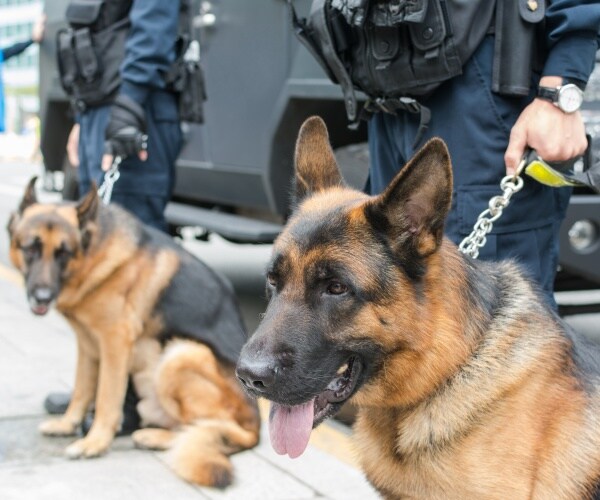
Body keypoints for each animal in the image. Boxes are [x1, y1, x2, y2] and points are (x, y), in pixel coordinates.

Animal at [7, 180, 260, 488]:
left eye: (63, 253)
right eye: (30, 248)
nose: (41, 297)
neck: (95, 253)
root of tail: (256, 428)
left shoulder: (115, 342)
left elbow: (106, 397)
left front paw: (94, 443)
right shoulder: (87, 344)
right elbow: (82, 389)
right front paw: (68, 424)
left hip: (180, 355)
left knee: (215, 429)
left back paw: (158, 437)